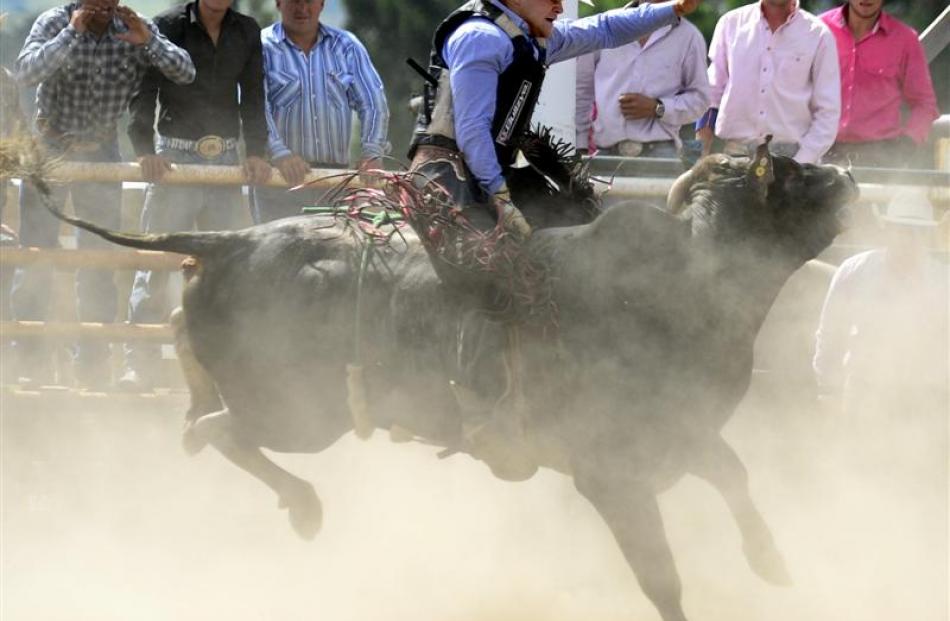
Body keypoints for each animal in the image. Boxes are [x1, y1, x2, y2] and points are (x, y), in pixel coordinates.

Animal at [44, 139, 860, 620]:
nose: (851, 175)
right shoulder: (610, 473)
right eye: (792, 176)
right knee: (210, 431)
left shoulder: (682, 434)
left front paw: (772, 561)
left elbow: (734, 475)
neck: (686, 283)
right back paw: (304, 507)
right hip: (299, 415)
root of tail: (227, 241)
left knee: (199, 419)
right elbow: (661, 574)